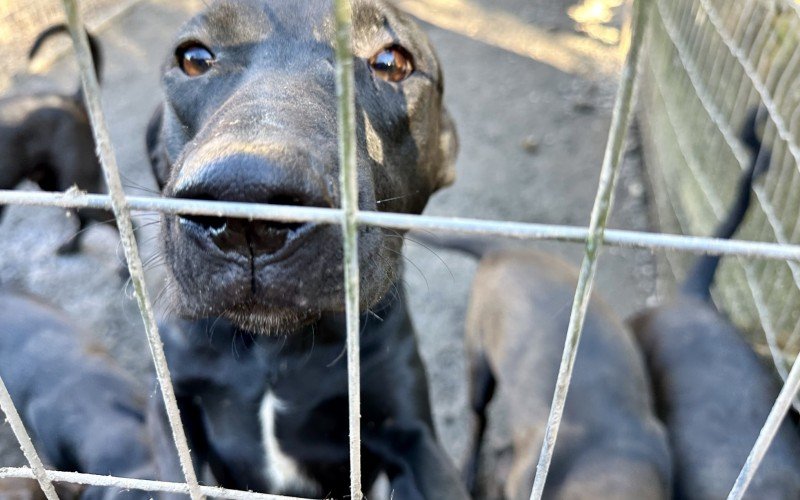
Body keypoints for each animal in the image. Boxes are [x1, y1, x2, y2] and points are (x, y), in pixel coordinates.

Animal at [145, 0, 462, 496]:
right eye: (193, 58)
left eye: (392, 63)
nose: (247, 203)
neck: (274, 348)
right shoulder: (170, 403)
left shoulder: (409, 428)